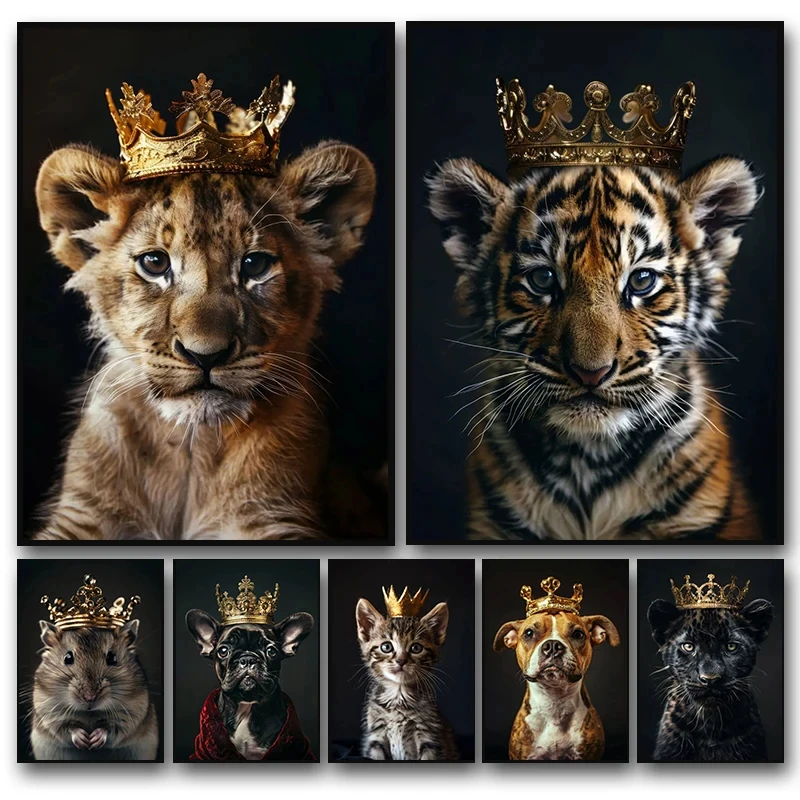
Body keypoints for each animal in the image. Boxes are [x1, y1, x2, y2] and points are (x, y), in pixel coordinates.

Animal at [33, 140, 379, 540]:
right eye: (154, 263)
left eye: (255, 265)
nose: (206, 356)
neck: (190, 448)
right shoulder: (82, 516)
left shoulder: (276, 517)